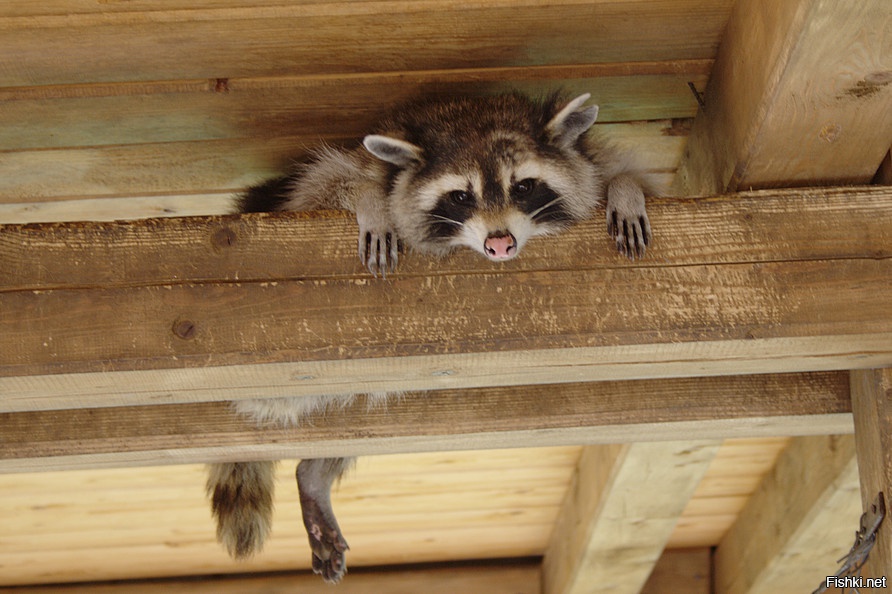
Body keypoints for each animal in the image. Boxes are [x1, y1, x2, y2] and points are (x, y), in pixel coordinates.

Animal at [209, 90, 656, 580]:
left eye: (523, 187)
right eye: (461, 196)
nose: (500, 244)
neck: (471, 113)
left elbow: (622, 176)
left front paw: (626, 190)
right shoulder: (340, 173)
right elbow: (332, 181)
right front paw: (371, 201)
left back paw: (314, 476)